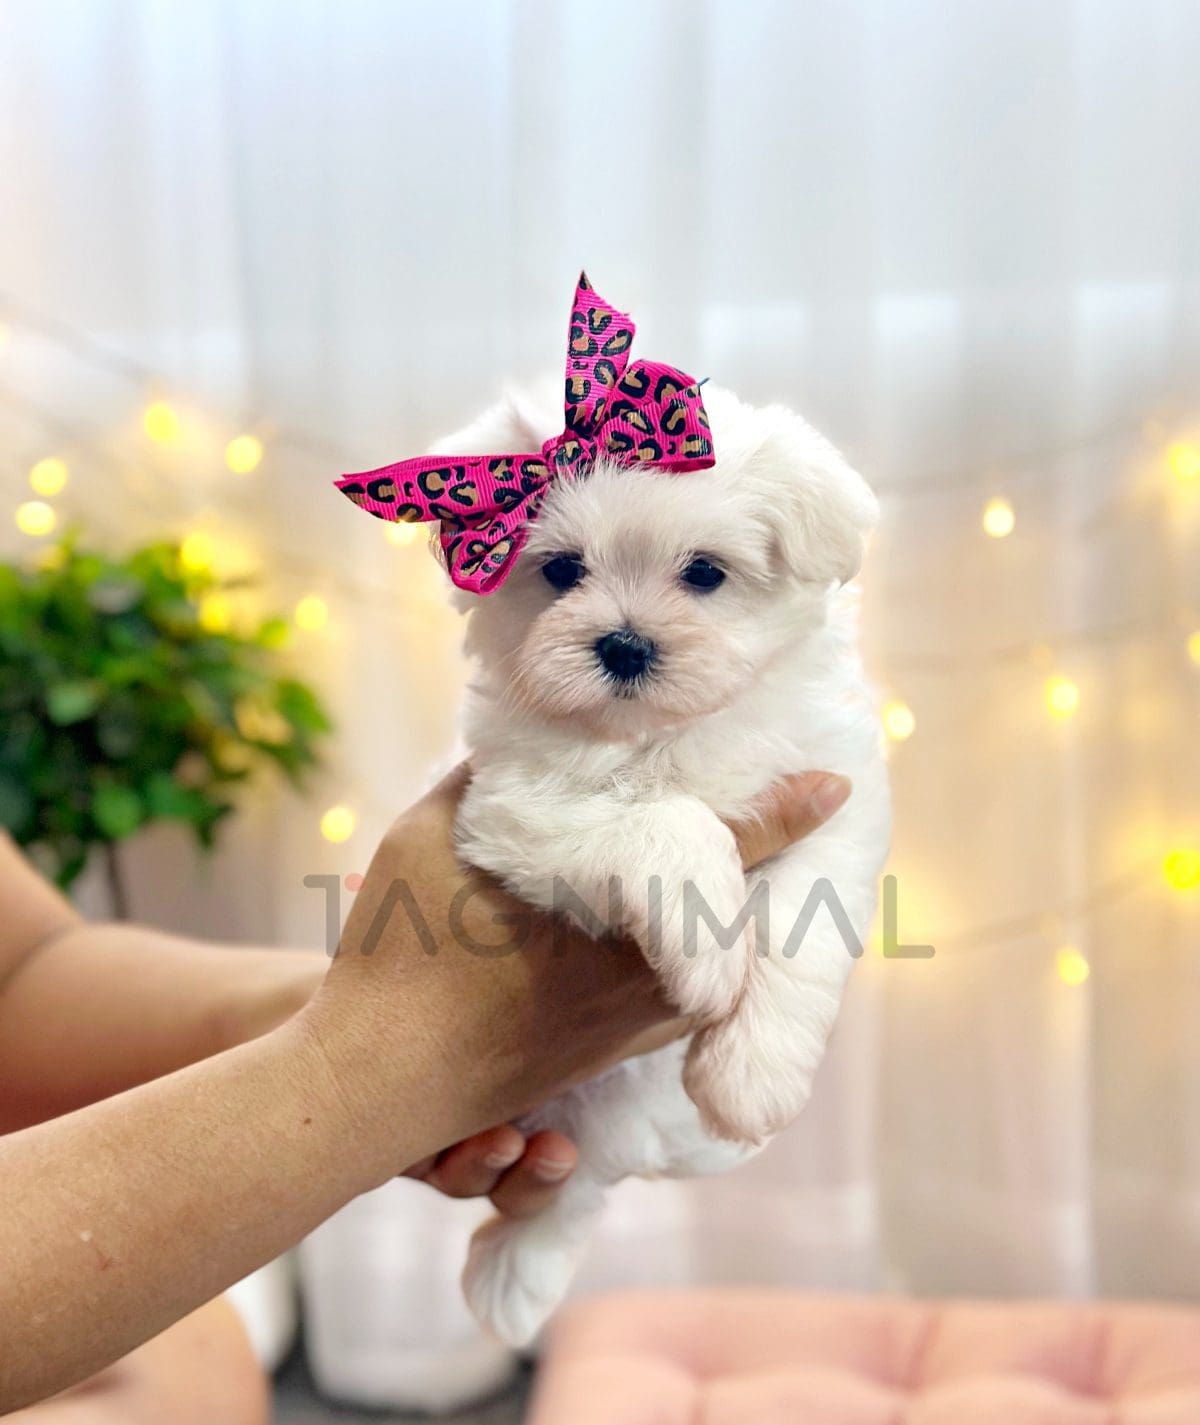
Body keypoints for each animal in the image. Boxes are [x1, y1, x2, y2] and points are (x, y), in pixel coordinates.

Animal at [422, 381, 893, 1345]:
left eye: (705, 573)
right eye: (561, 571)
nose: (625, 644)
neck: (660, 735)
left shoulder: (834, 791)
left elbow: (803, 919)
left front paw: (752, 1073)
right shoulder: (513, 803)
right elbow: (668, 823)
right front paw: (707, 948)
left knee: (571, 1187)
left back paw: (513, 1276)